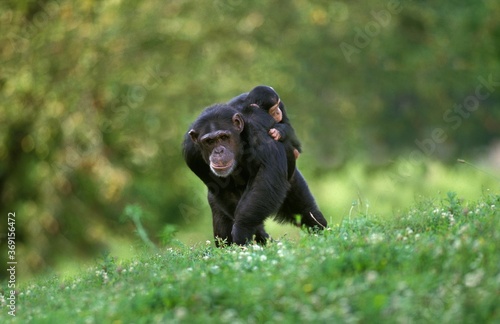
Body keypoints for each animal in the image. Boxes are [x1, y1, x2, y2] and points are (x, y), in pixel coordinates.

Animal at [182, 102, 326, 244]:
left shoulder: (259, 136)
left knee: (305, 211)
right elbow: (225, 191)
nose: (218, 151)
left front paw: (242, 228)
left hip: (292, 179)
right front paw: (259, 235)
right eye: (209, 141)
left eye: (224, 137)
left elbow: (266, 177)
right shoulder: (192, 154)